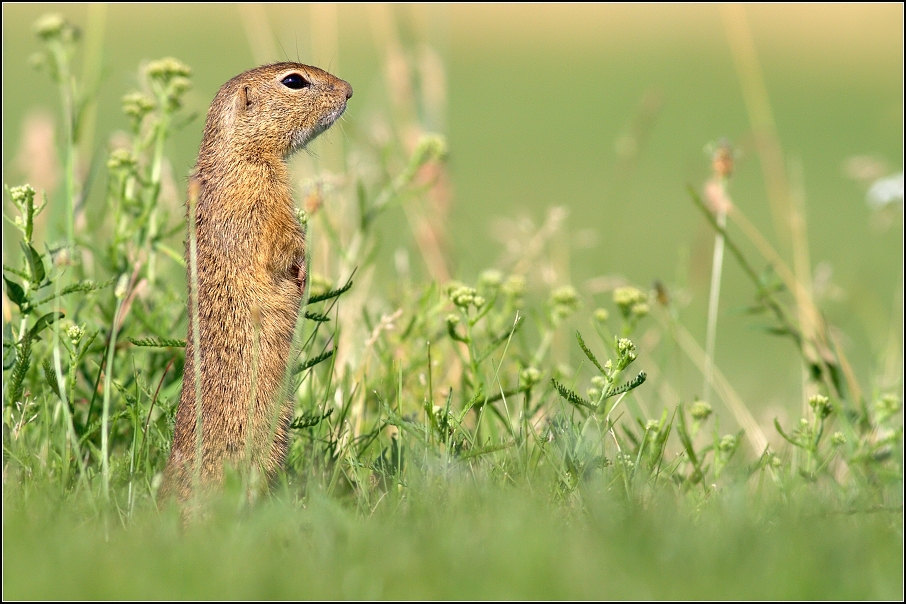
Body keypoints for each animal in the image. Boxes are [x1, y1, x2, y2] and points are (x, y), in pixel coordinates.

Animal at [159, 63, 350, 502]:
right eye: (294, 81)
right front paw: (301, 273)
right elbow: (285, 243)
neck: (239, 153)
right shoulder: (261, 202)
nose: (348, 90)